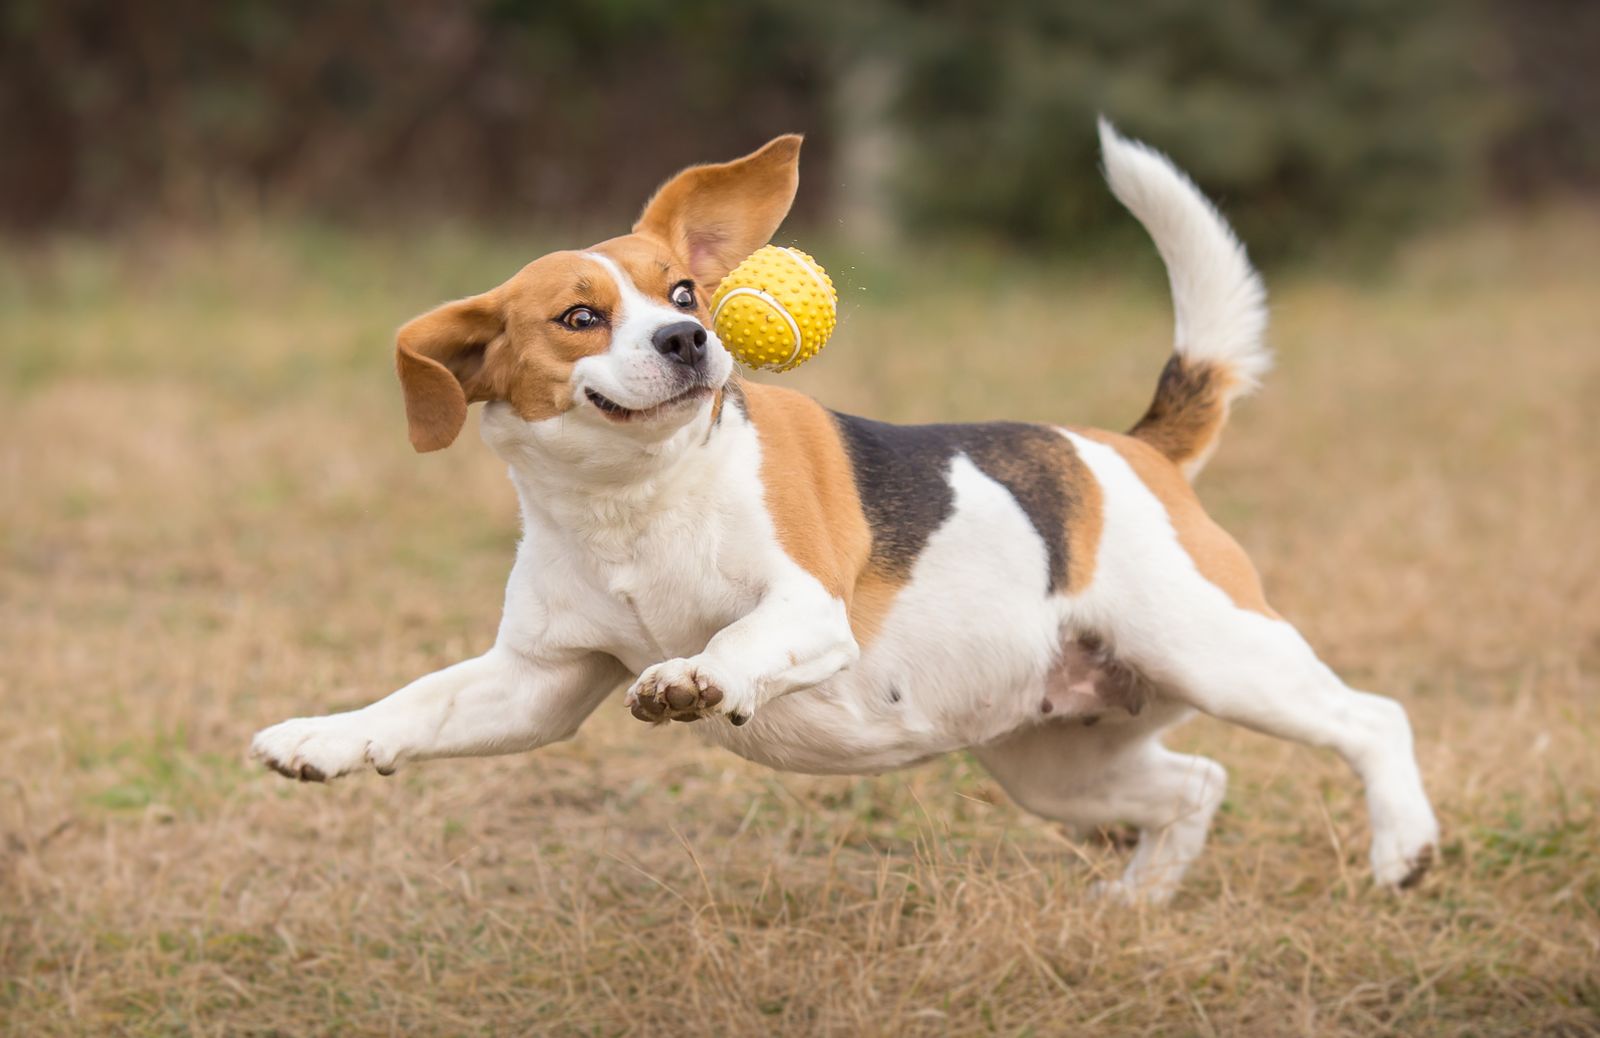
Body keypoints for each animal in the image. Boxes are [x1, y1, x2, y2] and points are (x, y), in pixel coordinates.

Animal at [249, 119, 1440, 895]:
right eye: (580, 316)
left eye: (682, 292)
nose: (689, 340)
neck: (638, 498)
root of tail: (1133, 447)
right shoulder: (536, 682)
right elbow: (416, 704)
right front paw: (323, 739)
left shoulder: (807, 611)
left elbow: (734, 642)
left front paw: (694, 678)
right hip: (1058, 761)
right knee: (1196, 783)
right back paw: (1135, 907)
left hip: (1221, 654)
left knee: (1371, 718)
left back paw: (1402, 849)